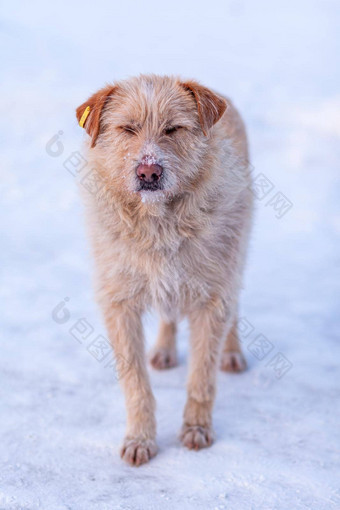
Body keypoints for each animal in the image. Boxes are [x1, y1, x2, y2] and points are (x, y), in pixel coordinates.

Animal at [75, 74, 254, 466]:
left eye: (173, 129)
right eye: (127, 128)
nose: (148, 170)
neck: (158, 221)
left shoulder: (212, 297)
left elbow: (202, 377)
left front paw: (196, 429)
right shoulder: (119, 303)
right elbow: (135, 382)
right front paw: (140, 438)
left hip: (236, 256)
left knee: (234, 307)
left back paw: (232, 352)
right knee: (169, 315)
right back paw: (164, 349)